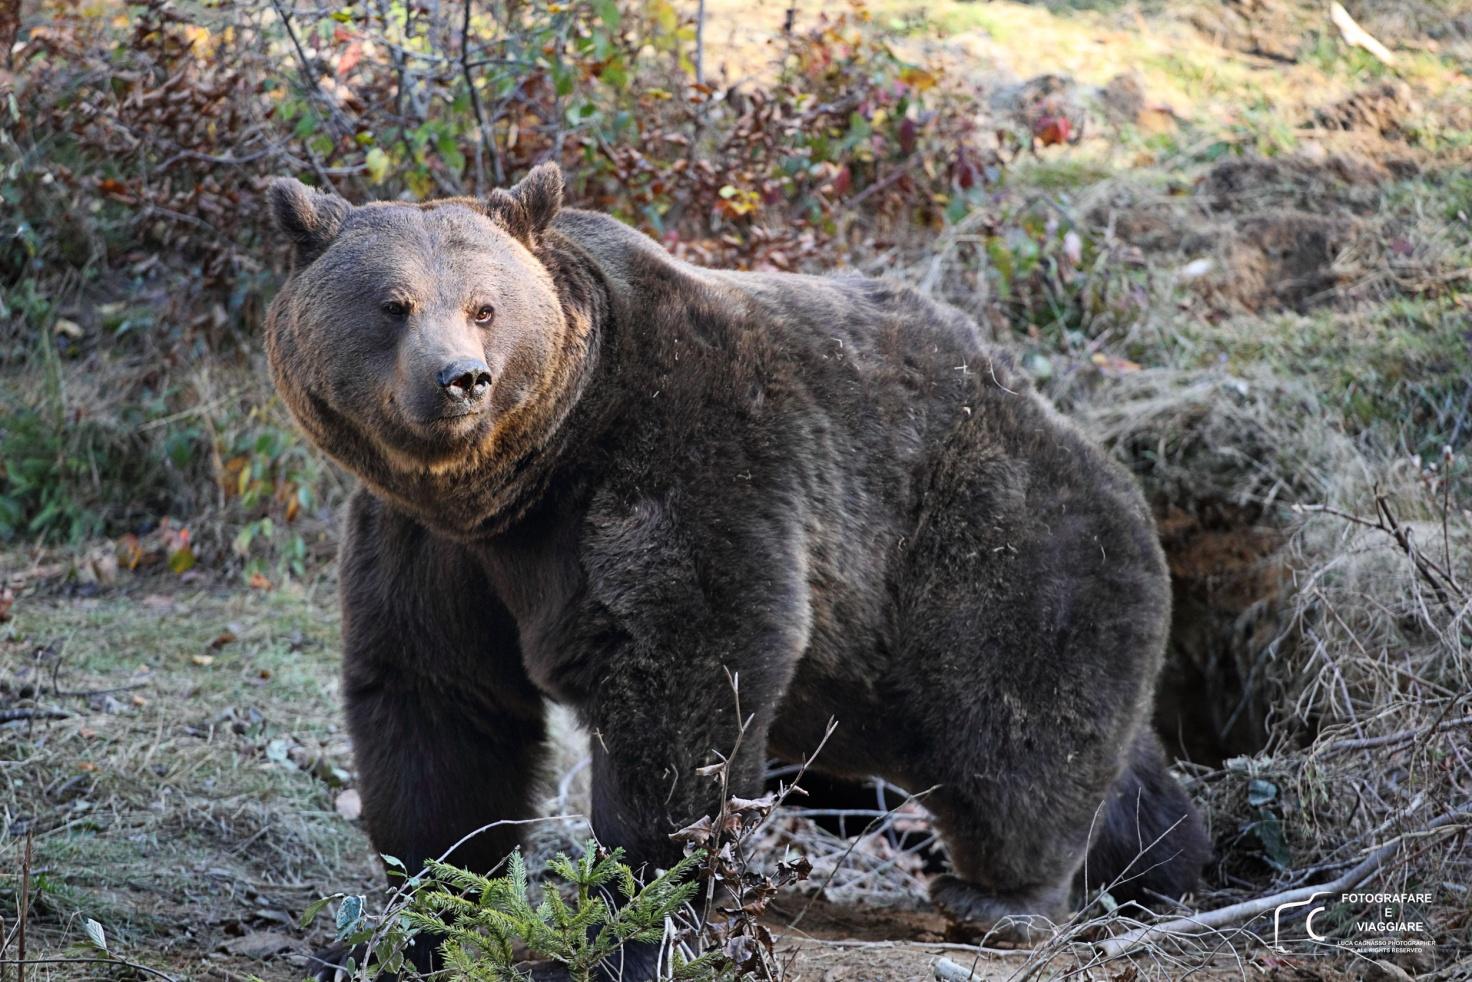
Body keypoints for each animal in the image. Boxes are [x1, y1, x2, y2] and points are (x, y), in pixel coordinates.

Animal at [264, 163, 1207, 977]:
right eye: (394, 305)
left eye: (486, 306)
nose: (460, 379)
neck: (523, 480)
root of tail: (1096, 449)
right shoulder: (430, 548)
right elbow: (441, 707)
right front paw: (425, 912)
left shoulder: (683, 457)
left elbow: (685, 680)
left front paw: (638, 914)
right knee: (1126, 765)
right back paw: (1166, 861)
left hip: (998, 551)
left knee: (1021, 736)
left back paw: (1003, 899)